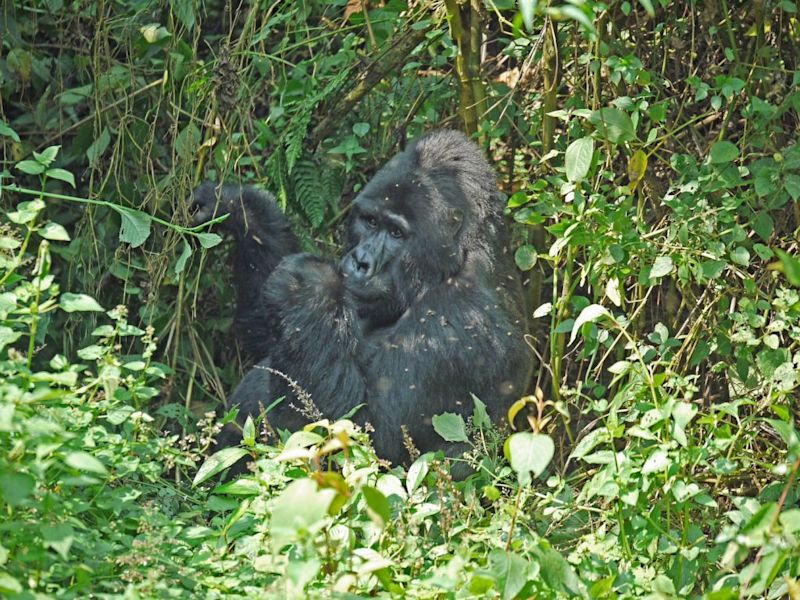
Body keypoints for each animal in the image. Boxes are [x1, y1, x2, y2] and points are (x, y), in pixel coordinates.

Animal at [191, 129, 536, 466]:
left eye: (396, 233)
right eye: (370, 221)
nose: (360, 262)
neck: (459, 259)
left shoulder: (457, 322)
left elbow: (369, 435)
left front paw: (307, 286)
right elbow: (268, 337)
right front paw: (239, 206)